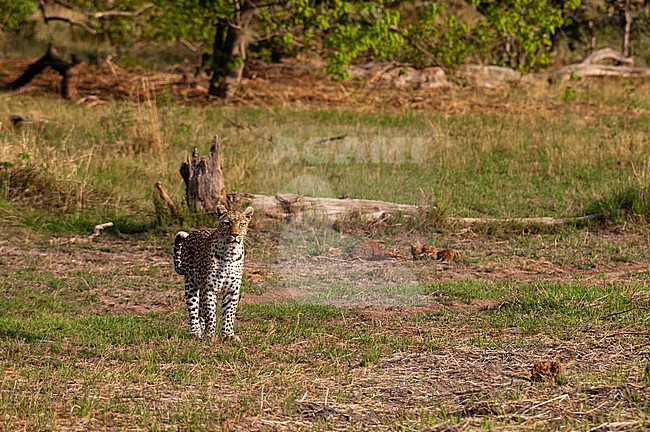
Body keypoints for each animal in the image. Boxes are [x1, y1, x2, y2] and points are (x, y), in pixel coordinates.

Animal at [173, 205, 254, 341]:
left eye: (242, 224)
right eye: (227, 223)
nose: (235, 234)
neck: (230, 253)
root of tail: (194, 232)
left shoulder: (232, 289)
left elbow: (229, 313)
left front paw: (228, 335)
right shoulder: (209, 288)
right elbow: (210, 314)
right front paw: (210, 335)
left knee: (200, 310)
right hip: (191, 285)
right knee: (193, 309)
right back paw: (196, 332)